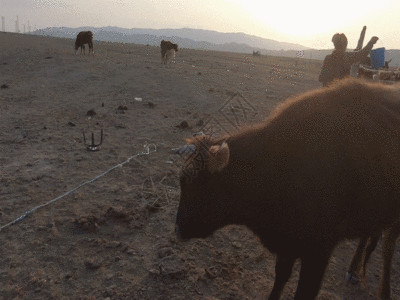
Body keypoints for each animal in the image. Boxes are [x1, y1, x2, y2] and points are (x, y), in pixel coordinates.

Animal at [175, 78, 400, 300]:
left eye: (198, 184)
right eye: (181, 181)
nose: (178, 229)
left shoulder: (318, 252)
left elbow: (304, 292)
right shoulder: (288, 243)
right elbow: (281, 277)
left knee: (388, 249)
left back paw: (382, 290)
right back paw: (354, 269)